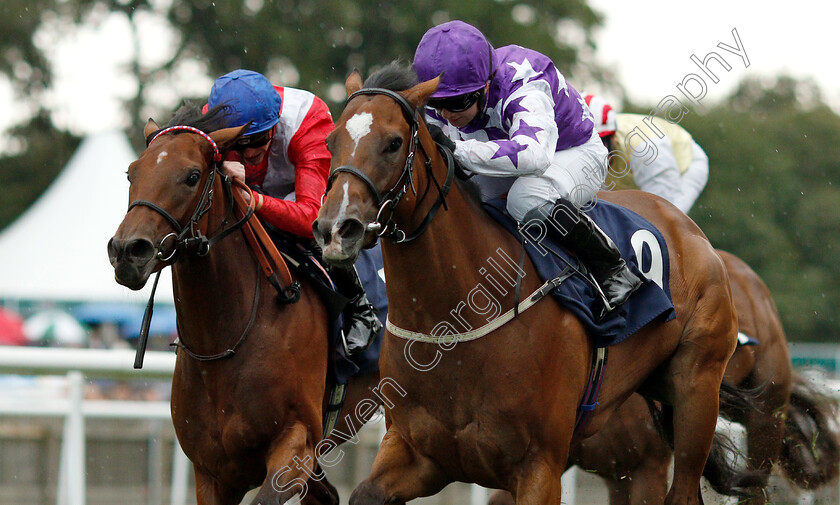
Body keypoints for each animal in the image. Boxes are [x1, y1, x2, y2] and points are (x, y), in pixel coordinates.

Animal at [106, 104, 382, 502]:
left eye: (192, 176)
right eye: (131, 172)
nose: (128, 251)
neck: (225, 341)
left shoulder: (295, 446)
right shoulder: (213, 472)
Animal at [312, 65, 764, 504]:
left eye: (392, 143)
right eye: (332, 140)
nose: (335, 228)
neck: (455, 318)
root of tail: (686, 227)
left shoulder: (539, 466)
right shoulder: (417, 452)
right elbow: (364, 493)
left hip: (696, 388)